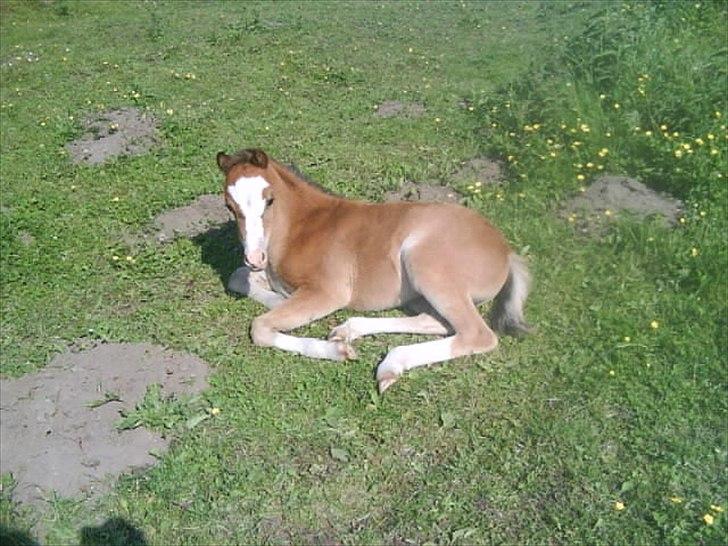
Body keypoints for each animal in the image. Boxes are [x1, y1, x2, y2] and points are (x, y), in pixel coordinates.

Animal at [217, 148, 531, 393]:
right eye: (229, 206)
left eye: (269, 200)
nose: (254, 257)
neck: (301, 228)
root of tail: (506, 251)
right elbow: (238, 277)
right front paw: (280, 299)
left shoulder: (328, 291)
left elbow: (260, 327)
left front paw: (337, 352)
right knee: (435, 321)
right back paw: (349, 330)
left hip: (425, 263)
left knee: (477, 333)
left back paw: (389, 363)